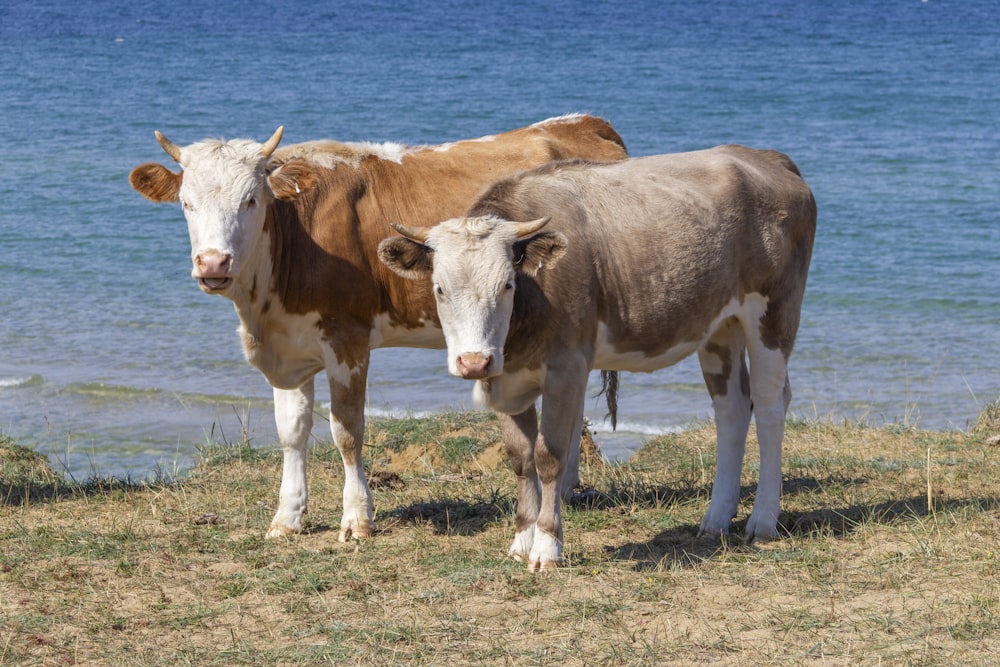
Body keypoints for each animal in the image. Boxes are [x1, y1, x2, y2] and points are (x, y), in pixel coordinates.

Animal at [125, 115, 624, 544]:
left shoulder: (347, 337)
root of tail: (583, 123)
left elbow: (347, 430)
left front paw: (357, 518)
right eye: (187, 204)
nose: (213, 263)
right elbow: (291, 431)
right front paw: (287, 516)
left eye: (251, 200)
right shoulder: (290, 343)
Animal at [378, 147, 816, 576]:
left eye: (506, 285)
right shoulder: (504, 375)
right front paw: (521, 541)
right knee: (732, 409)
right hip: (719, 325)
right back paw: (715, 520)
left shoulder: (567, 367)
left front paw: (547, 547)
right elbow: (520, 459)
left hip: (773, 312)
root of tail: (764, 157)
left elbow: (549, 456)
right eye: (439, 288)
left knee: (770, 406)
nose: (473, 362)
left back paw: (762, 521)